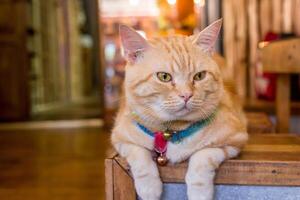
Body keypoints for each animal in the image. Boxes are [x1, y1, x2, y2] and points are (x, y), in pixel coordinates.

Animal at [111, 19, 247, 200]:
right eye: (164, 77)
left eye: (199, 76)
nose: (186, 95)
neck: (171, 131)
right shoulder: (120, 138)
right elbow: (139, 155)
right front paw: (149, 187)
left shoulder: (235, 139)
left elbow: (203, 156)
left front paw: (200, 192)